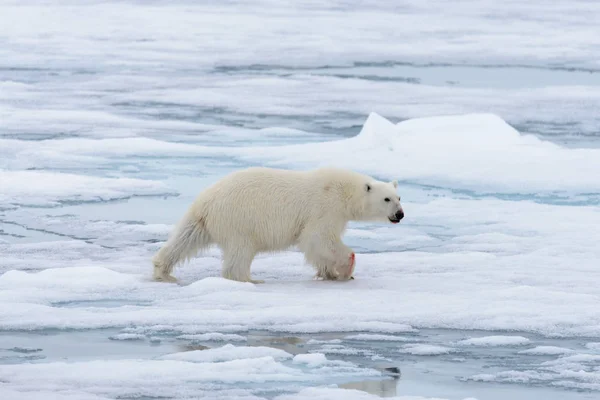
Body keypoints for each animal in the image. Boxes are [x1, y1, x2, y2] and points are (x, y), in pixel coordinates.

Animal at [151, 167, 404, 282]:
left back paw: (162, 269)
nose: (400, 214)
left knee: (185, 238)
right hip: (240, 220)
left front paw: (328, 272)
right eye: (386, 199)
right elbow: (317, 238)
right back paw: (250, 279)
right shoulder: (325, 208)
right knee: (240, 252)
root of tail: (206, 202)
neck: (345, 191)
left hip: (203, 220)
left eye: (399, 197)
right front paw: (346, 267)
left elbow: (318, 248)